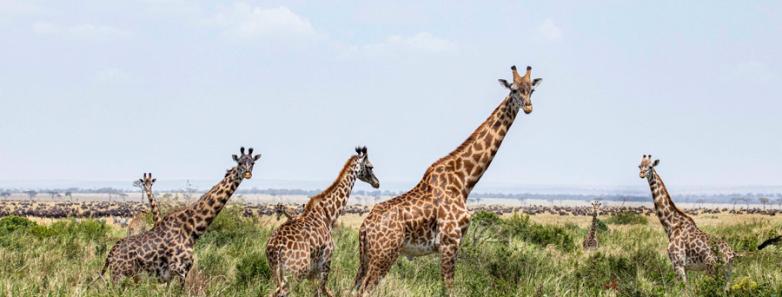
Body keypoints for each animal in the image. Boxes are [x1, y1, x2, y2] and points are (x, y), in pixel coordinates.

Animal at [99, 147, 260, 284]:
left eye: (252, 163)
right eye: (240, 163)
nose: (247, 173)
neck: (191, 230)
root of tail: (110, 255)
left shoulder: (174, 275)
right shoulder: (179, 270)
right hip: (118, 276)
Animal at [266, 146, 382, 296]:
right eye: (370, 166)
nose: (377, 183)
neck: (328, 215)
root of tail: (274, 249)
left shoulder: (314, 271)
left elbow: (325, 291)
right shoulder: (326, 261)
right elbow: (322, 290)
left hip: (277, 273)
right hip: (295, 273)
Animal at [352, 65, 544, 296]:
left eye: (531, 89)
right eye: (513, 89)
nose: (528, 107)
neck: (464, 181)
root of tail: (364, 228)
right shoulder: (450, 242)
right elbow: (449, 287)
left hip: (367, 258)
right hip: (384, 255)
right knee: (364, 289)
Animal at [640, 154, 740, 284]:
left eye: (650, 166)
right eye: (639, 166)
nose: (641, 174)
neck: (671, 225)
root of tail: (731, 254)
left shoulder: (677, 263)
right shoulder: (685, 267)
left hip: (713, 269)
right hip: (728, 272)